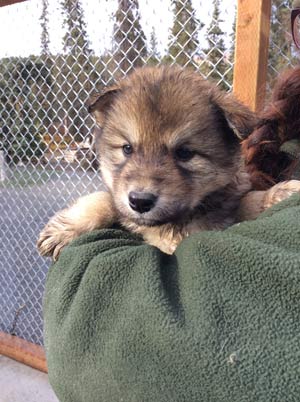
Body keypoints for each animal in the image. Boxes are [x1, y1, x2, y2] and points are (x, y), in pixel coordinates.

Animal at [38, 64, 300, 256]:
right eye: (127, 149)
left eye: (184, 153)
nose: (140, 201)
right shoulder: (121, 203)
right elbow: (106, 201)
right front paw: (65, 229)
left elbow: (248, 202)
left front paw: (280, 193)